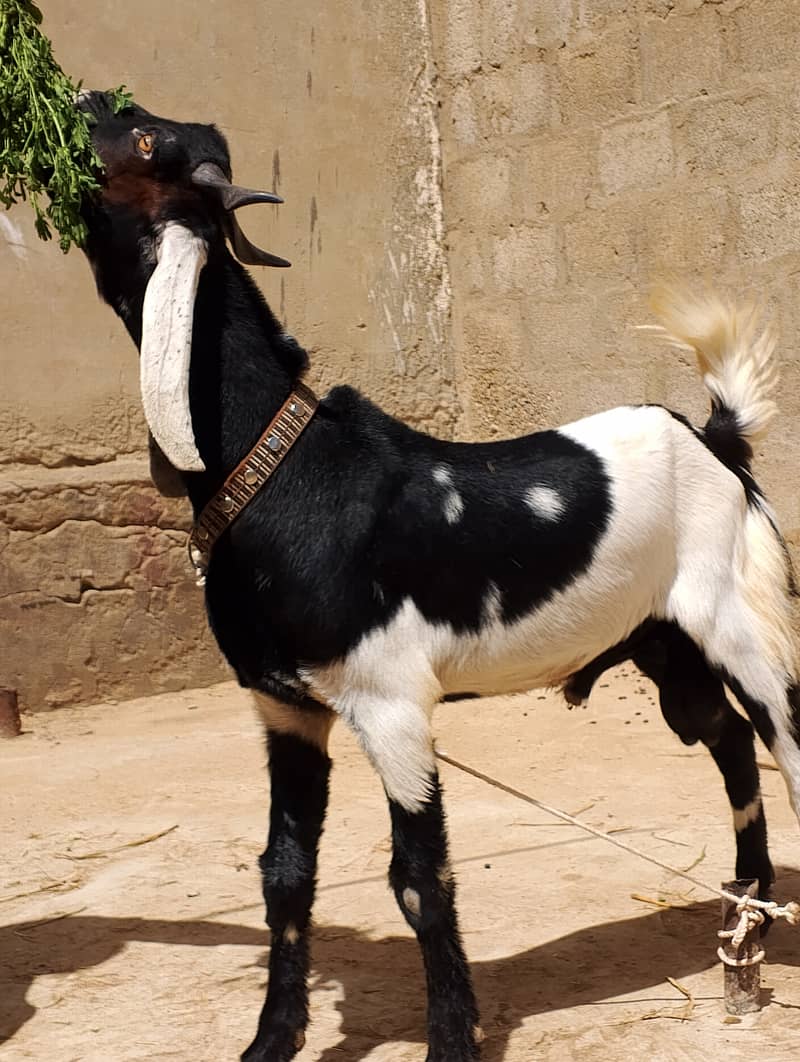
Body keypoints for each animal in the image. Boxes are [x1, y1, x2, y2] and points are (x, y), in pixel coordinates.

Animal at [75, 91, 800, 1062]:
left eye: (144, 137)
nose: (79, 101)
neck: (286, 471)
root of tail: (716, 437)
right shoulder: (284, 708)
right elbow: (284, 874)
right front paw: (272, 1040)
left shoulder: (391, 706)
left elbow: (420, 881)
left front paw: (453, 1038)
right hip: (667, 647)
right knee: (723, 742)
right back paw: (747, 908)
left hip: (746, 622)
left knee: (784, 743)